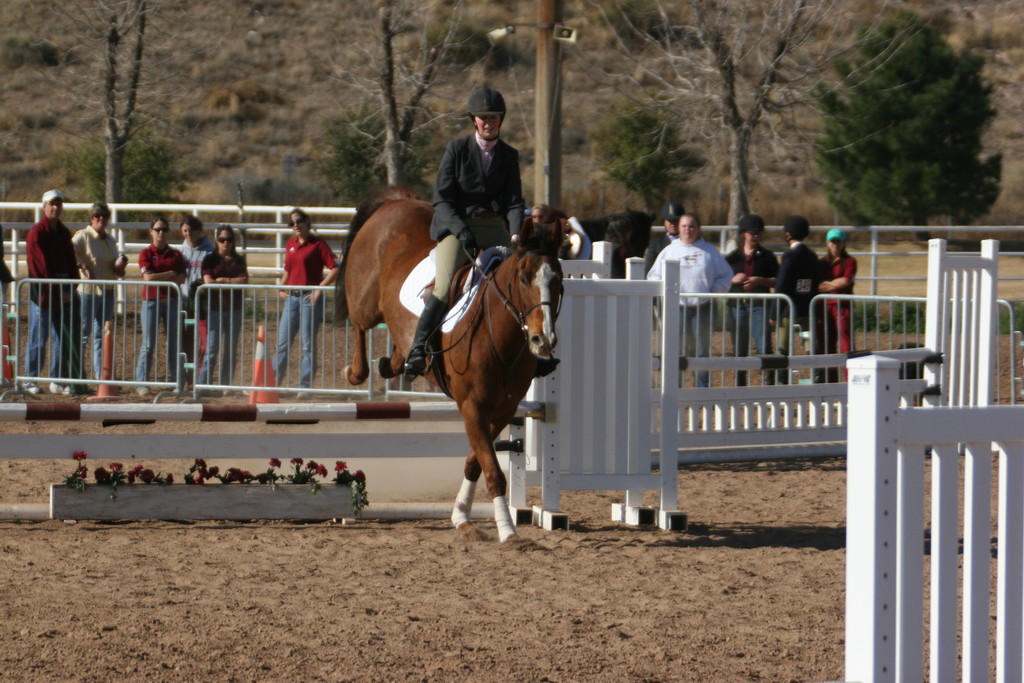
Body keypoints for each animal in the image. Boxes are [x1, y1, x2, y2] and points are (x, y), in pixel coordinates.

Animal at [335, 188, 565, 544]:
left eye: (559, 280)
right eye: (524, 278)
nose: (544, 340)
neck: (501, 338)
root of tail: (395, 202)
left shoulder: (502, 410)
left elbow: (476, 462)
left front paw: (461, 517)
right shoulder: (472, 406)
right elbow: (493, 472)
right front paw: (507, 531)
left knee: (400, 345)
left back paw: (398, 362)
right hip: (366, 302)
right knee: (360, 325)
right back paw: (357, 370)